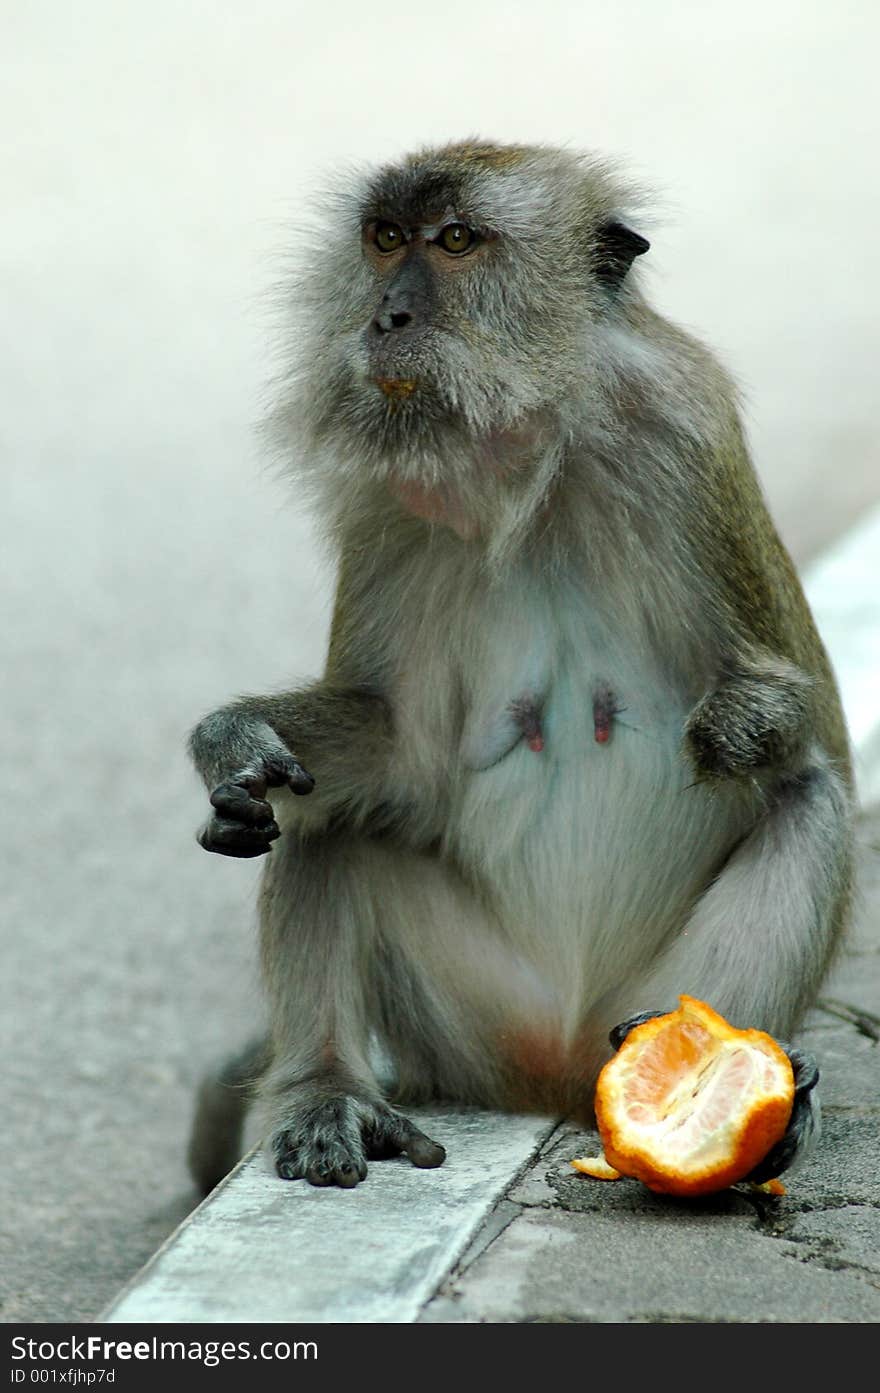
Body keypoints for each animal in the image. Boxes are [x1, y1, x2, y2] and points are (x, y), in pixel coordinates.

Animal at [185, 141, 852, 1192]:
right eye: (386, 240)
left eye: (457, 241)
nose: (388, 315)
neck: (538, 456)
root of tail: (563, 1074)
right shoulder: (391, 505)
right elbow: (400, 749)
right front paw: (232, 741)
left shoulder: (691, 440)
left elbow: (808, 727)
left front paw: (743, 724)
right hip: (482, 1024)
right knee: (324, 818)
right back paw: (329, 1089)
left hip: (647, 997)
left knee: (809, 800)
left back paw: (744, 1085)